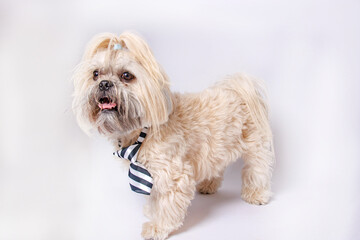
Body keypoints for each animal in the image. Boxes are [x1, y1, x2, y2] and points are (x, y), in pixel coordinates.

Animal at [73, 32, 276, 240]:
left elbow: (166, 203)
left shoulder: (173, 174)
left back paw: (256, 194)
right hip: (216, 148)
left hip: (255, 148)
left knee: (257, 170)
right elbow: (155, 196)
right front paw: (152, 212)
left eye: (127, 76)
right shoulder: (152, 173)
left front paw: (158, 226)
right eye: (95, 74)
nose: (104, 83)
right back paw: (209, 185)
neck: (144, 131)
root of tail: (238, 90)